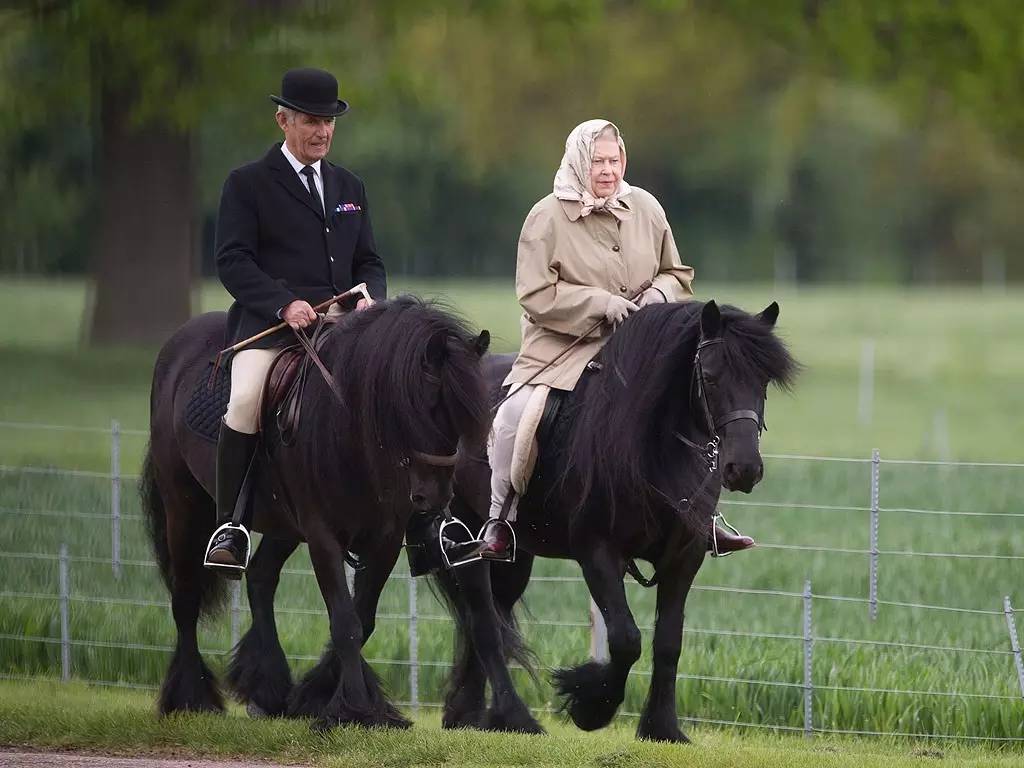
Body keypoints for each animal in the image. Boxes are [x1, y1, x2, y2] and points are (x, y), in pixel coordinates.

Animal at [140, 296, 503, 729]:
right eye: (422, 406)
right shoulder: (323, 536)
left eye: (467, 417)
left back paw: (268, 690)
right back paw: (191, 697)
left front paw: (326, 696)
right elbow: (345, 622)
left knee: (260, 578)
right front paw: (353, 709)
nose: (434, 498)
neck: (350, 427)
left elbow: (363, 619)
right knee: (186, 599)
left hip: (281, 524)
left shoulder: (383, 539)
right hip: (184, 506)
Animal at [436, 296, 794, 741]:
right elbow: (626, 638)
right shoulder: (598, 552)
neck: (649, 447)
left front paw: (662, 727)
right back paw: (515, 717)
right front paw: (592, 706)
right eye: (710, 377)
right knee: (484, 623)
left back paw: (470, 715)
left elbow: (668, 641)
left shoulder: (684, 557)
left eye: (763, 380)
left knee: (491, 619)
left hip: (514, 555)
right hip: (466, 538)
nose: (743, 469)